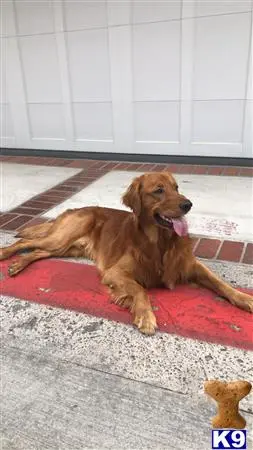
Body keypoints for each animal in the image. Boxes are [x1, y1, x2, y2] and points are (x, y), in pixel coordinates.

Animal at [0, 171, 252, 334]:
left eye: (177, 188)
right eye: (159, 190)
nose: (188, 204)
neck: (160, 242)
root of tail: (72, 209)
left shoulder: (192, 266)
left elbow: (220, 282)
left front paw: (244, 298)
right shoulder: (114, 273)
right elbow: (140, 289)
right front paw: (145, 316)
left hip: (65, 247)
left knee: (36, 251)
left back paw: (18, 265)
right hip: (61, 238)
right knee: (27, 242)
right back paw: (6, 255)